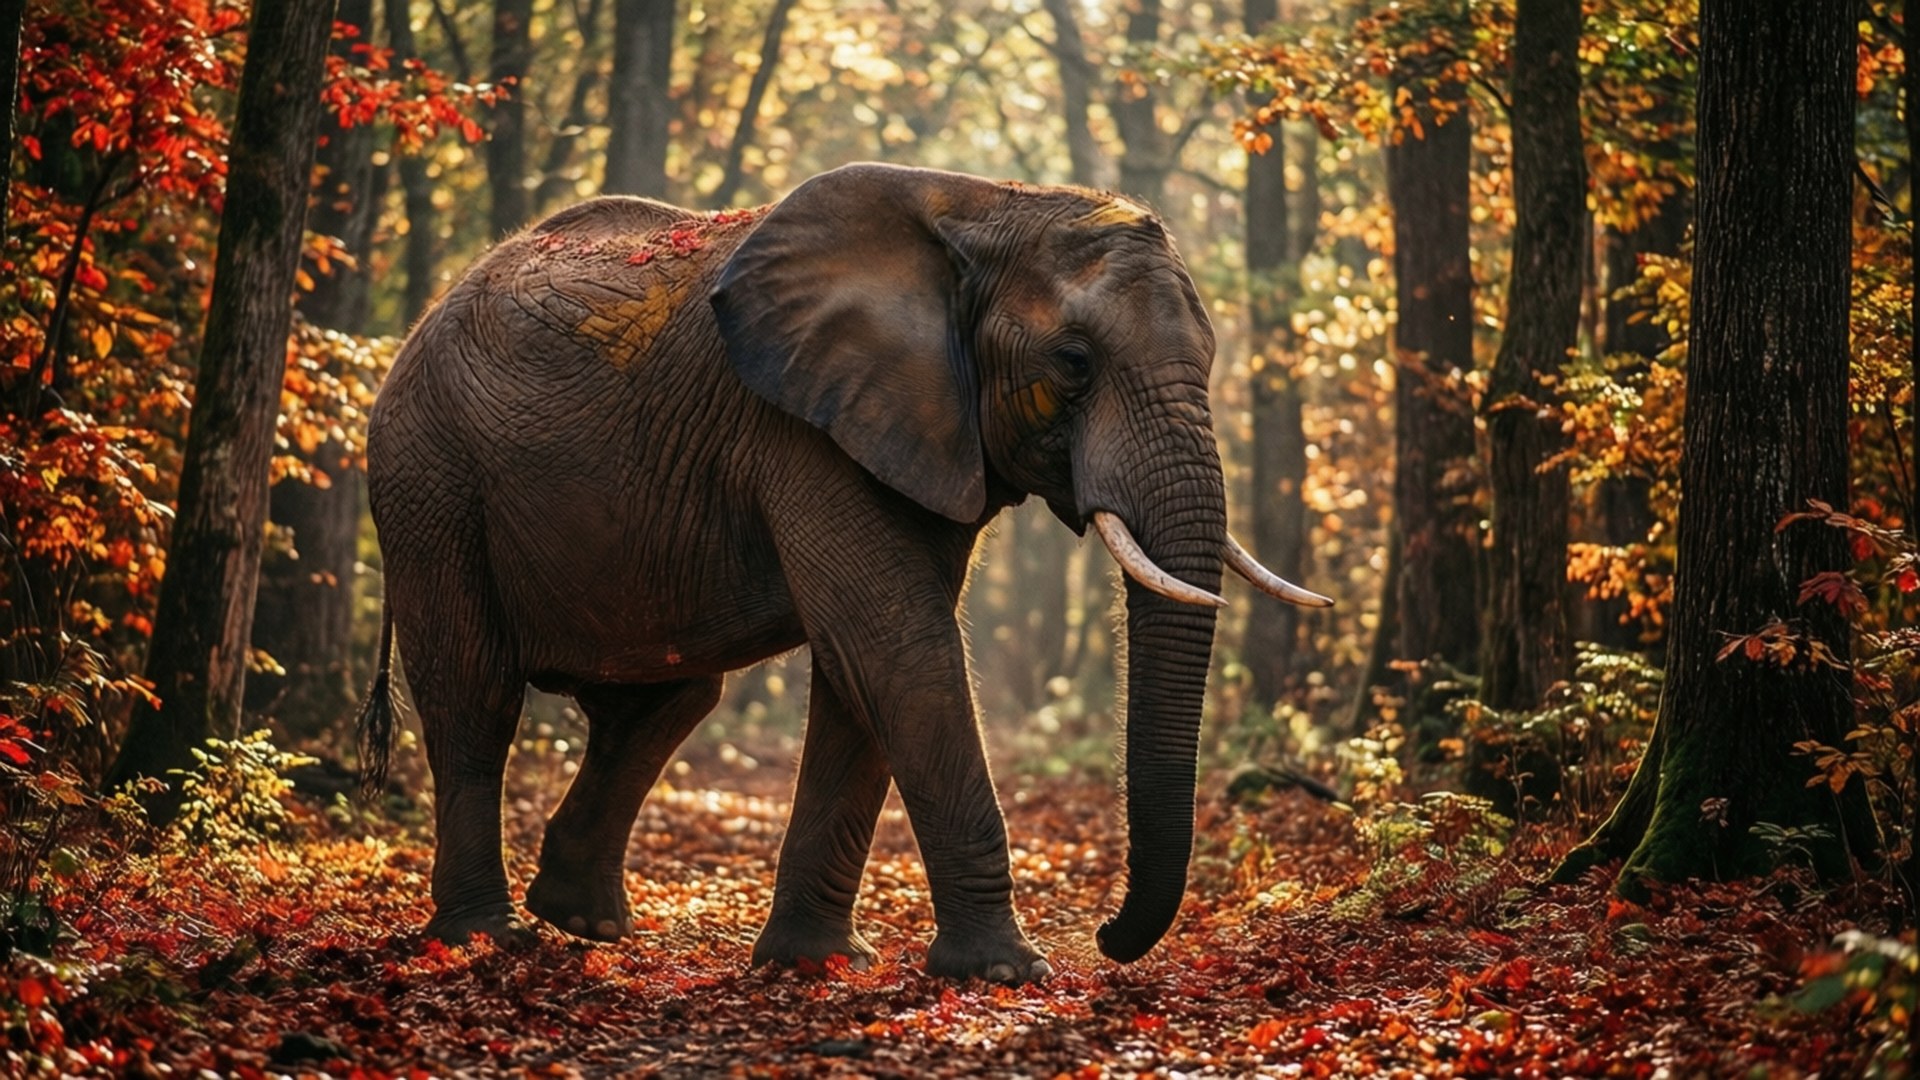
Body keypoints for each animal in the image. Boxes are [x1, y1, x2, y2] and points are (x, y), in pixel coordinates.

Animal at [355, 162, 1330, 982]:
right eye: (1074, 363)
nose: (1107, 938)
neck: (986, 205)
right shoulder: (804, 427)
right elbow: (895, 644)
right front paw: (1007, 974)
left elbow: (863, 668)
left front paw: (817, 962)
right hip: (425, 472)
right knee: (475, 692)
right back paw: (488, 936)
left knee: (665, 701)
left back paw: (585, 923)